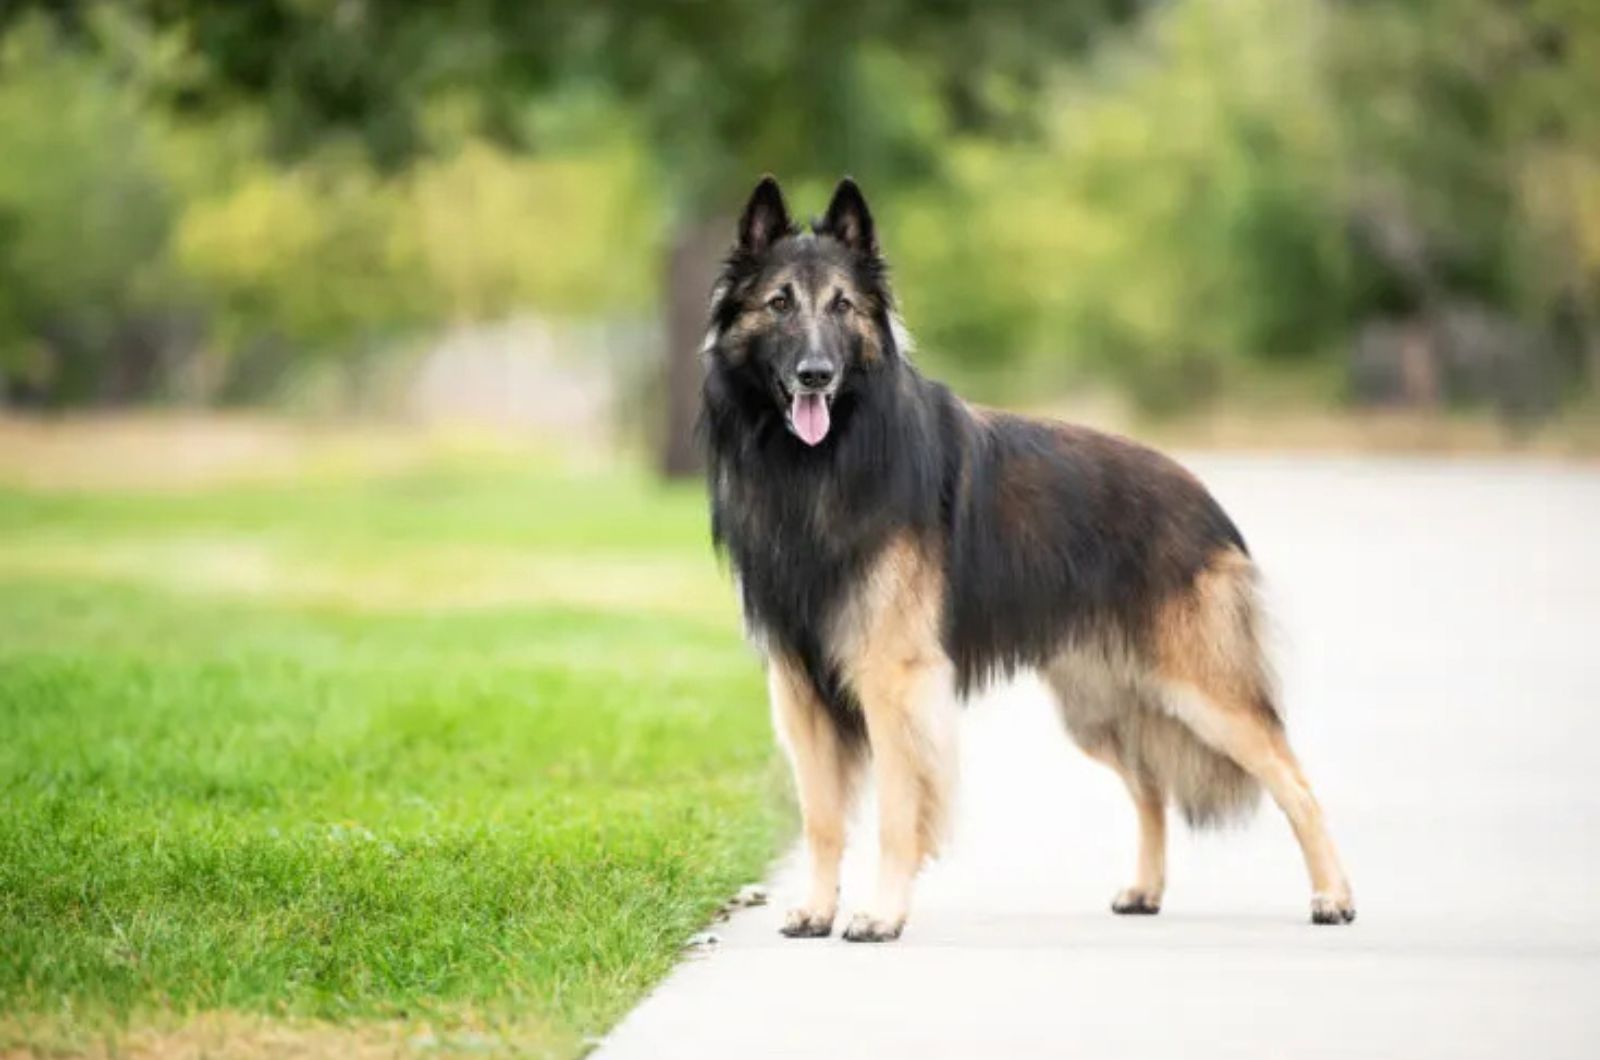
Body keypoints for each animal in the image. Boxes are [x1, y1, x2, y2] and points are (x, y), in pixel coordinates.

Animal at [697, 176, 1350, 947]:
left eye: (842, 306)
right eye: (779, 304)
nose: (815, 375)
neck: (822, 466)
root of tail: (1206, 501)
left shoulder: (893, 681)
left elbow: (895, 812)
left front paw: (881, 915)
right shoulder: (799, 685)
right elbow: (822, 819)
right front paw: (816, 909)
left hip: (1204, 695)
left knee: (1294, 780)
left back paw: (1334, 897)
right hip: (1099, 705)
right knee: (1151, 785)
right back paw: (1145, 889)